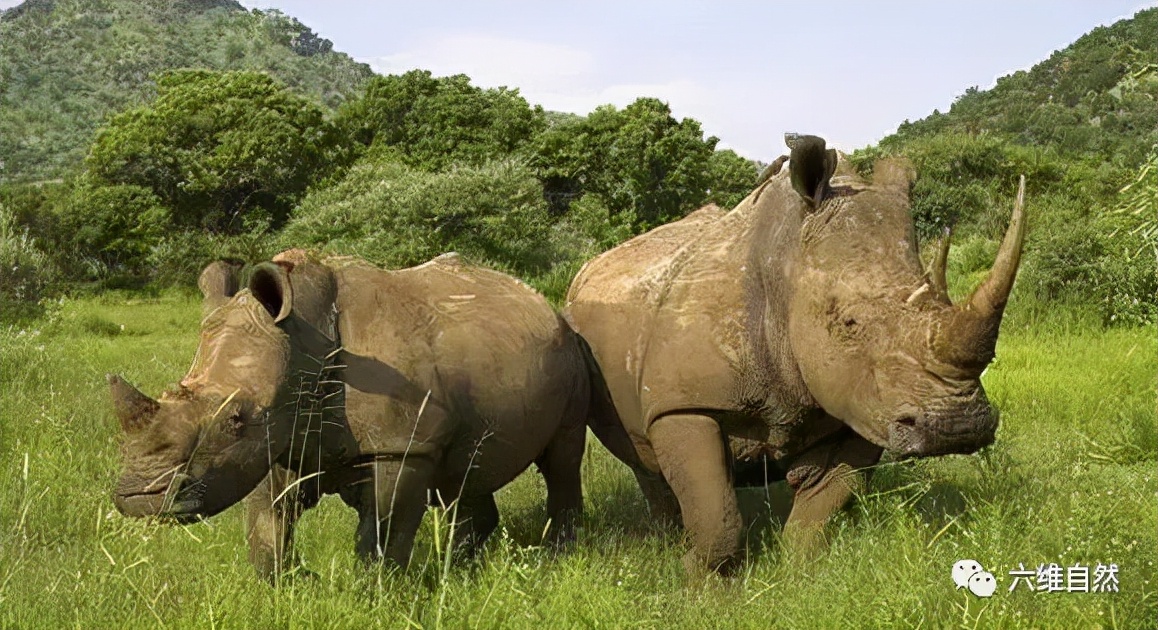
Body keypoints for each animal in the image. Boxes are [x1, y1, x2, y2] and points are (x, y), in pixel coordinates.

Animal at [110, 251, 588, 581]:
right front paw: (285, 585)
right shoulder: (279, 437)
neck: (304, 340)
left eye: (236, 421)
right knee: (466, 470)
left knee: (562, 458)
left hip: (572, 352)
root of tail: (543, 303)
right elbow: (267, 521)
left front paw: (376, 591)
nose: (138, 497)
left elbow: (383, 528)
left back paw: (560, 555)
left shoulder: (400, 446)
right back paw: (459, 564)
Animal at [565, 134, 1028, 576]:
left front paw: (801, 575)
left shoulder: (859, 403)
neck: (786, 265)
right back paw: (668, 538)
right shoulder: (683, 402)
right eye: (849, 324)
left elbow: (818, 511)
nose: (958, 427)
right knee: (642, 458)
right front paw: (699, 581)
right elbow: (716, 520)